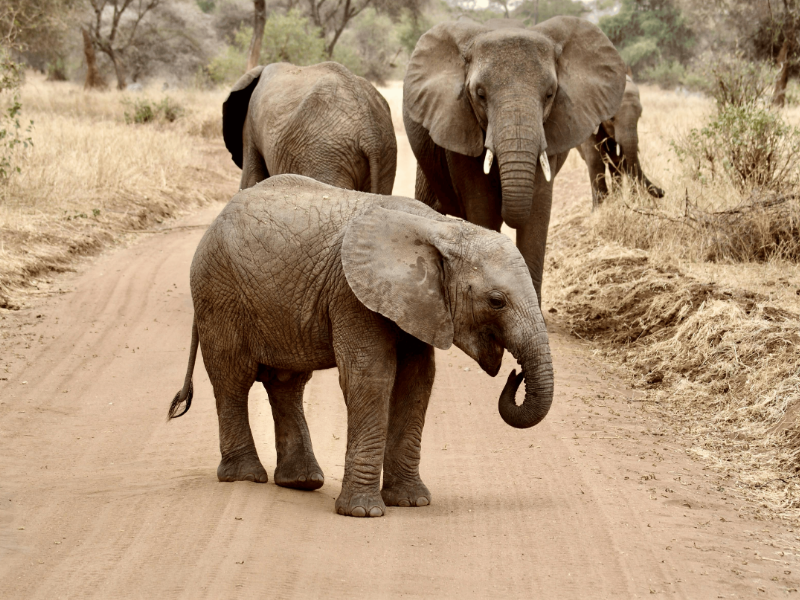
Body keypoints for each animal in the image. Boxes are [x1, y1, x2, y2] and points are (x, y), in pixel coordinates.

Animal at [168, 174, 554, 518]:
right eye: (496, 301)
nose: (516, 374)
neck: (440, 228)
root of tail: (214, 222)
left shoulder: (418, 304)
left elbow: (417, 381)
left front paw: (411, 502)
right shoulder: (352, 294)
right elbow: (371, 377)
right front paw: (363, 512)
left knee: (286, 383)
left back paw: (302, 481)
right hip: (218, 292)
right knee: (232, 378)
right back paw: (245, 476)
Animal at [576, 75, 665, 210]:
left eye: (639, 116)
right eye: (611, 118)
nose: (663, 191)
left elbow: (623, 159)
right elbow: (594, 159)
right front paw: (598, 210)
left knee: (614, 163)